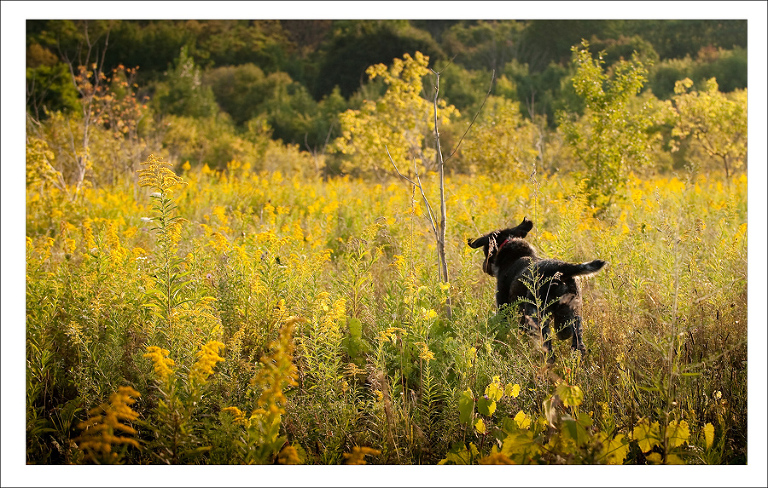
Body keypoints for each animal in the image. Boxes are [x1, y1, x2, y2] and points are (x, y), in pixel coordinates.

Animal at [468, 219, 608, 360]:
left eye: (485, 251)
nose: (484, 267)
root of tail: (561, 269)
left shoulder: (503, 306)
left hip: (537, 317)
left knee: (549, 351)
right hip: (571, 317)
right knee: (577, 344)